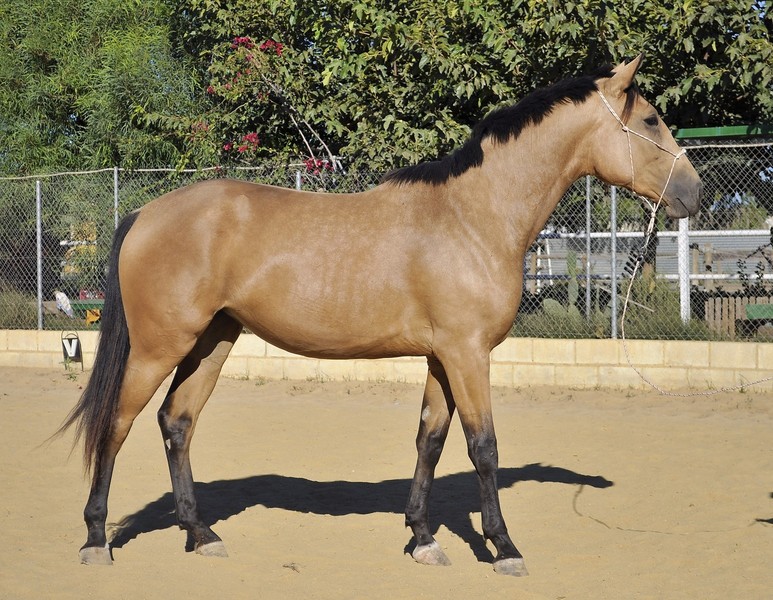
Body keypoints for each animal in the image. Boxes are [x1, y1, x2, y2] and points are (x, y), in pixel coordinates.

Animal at [60, 55, 701, 576]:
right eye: (650, 121)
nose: (694, 194)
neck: (472, 216)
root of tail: (144, 213)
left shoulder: (444, 357)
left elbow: (430, 439)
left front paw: (422, 539)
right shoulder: (468, 354)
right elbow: (484, 447)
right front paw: (504, 547)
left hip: (212, 341)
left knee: (177, 422)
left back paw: (201, 535)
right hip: (158, 347)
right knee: (116, 424)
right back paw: (95, 540)